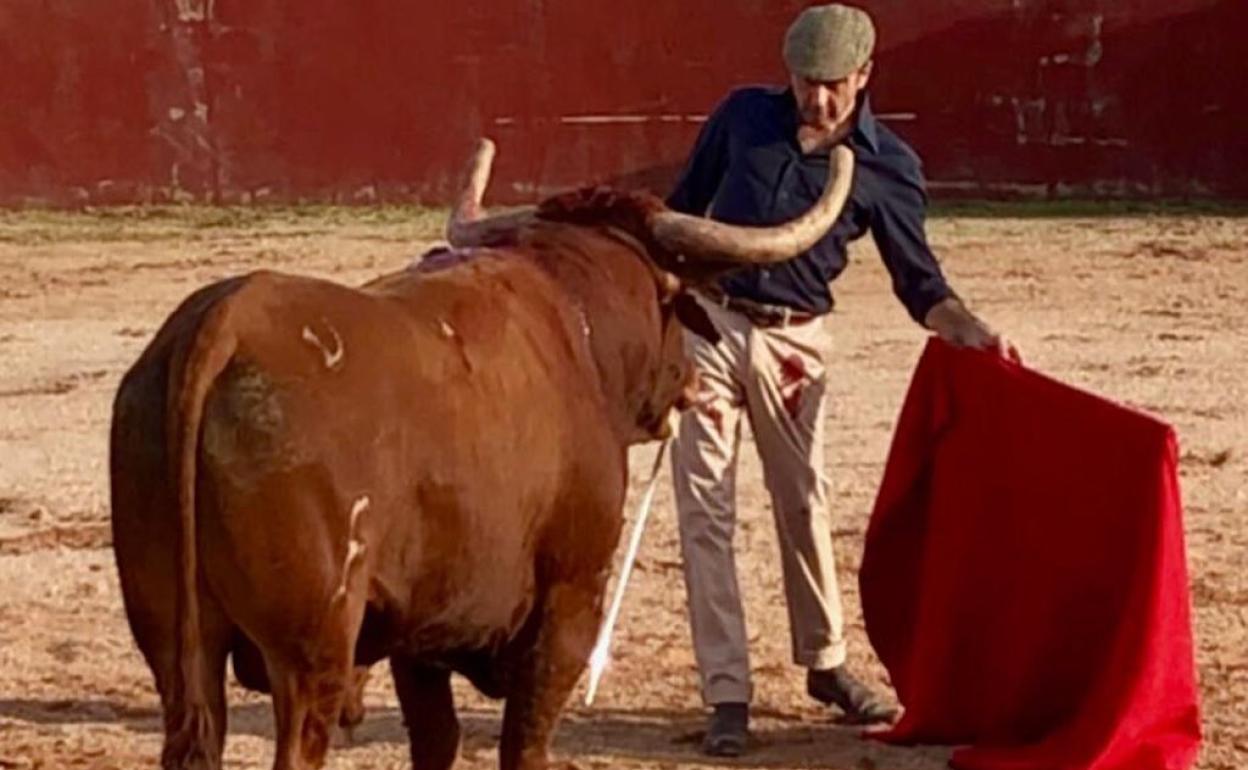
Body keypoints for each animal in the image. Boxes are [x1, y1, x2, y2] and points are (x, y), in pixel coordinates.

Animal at [112, 139, 853, 768]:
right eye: (673, 303)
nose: (691, 384)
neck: (576, 324)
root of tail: (224, 319)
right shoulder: (569, 603)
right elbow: (524, 742)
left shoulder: (420, 632)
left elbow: (437, 740)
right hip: (311, 653)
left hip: (176, 646)